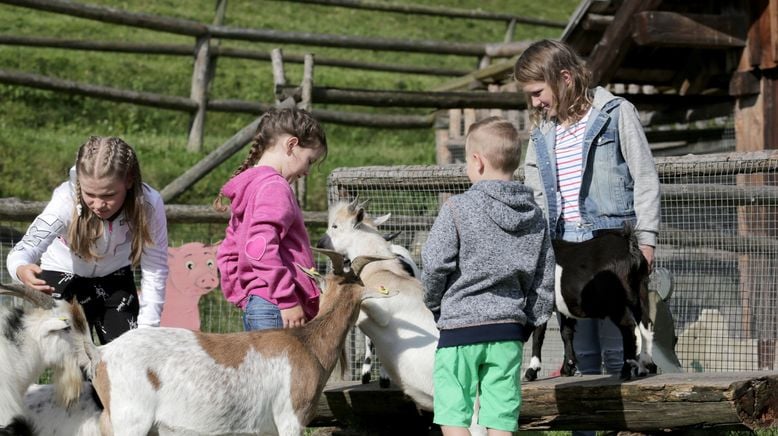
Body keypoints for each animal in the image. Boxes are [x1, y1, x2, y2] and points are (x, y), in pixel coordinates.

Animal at [520, 228, 656, 382]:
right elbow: (566, 333)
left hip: (615, 303)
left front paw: (531, 371)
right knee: (646, 325)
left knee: (629, 328)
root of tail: (629, 246)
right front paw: (568, 368)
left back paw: (626, 372)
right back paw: (643, 368)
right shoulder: (564, 307)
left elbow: (538, 335)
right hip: (641, 291)